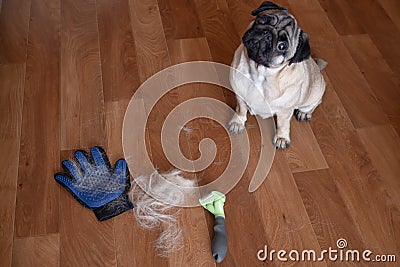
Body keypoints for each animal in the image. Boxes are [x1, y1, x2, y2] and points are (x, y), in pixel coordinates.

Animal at [228, 1, 324, 150]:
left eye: (282, 46)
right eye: (262, 20)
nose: (267, 33)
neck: (259, 73)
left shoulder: (285, 111)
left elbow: (283, 124)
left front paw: (282, 138)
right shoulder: (240, 96)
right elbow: (241, 109)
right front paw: (238, 122)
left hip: (313, 96)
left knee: (314, 104)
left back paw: (304, 113)